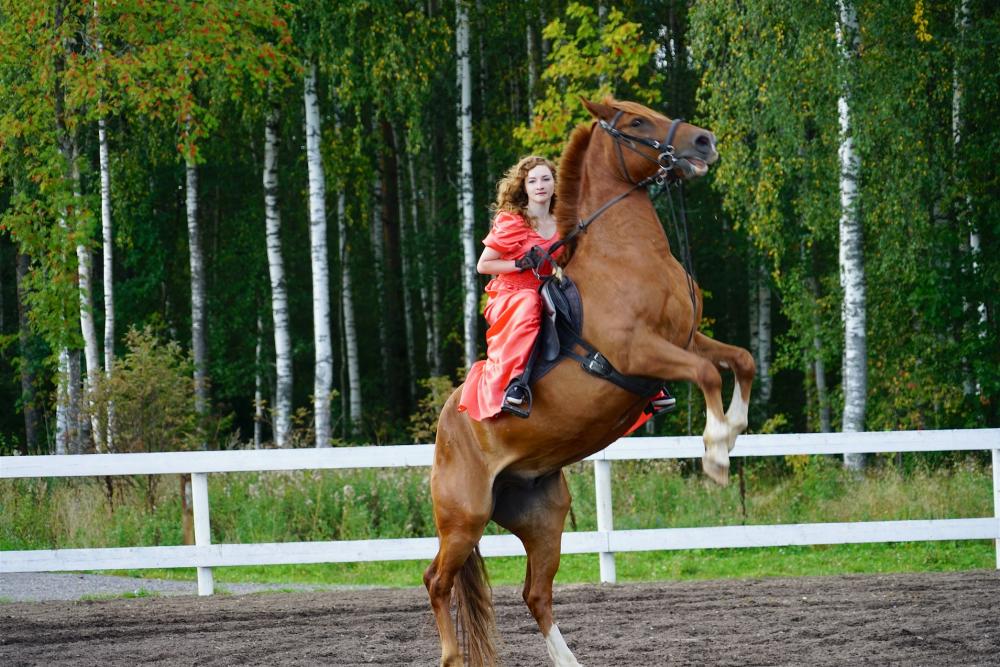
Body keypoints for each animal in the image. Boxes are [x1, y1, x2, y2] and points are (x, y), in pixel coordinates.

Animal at [424, 97, 756, 666]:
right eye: (637, 121)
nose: (704, 142)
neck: (625, 257)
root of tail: (449, 426)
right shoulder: (641, 352)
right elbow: (708, 372)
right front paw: (715, 451)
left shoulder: (687, 339)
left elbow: (742, 360)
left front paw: (733, 429)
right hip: (464, 518)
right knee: (437, 581)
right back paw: (451, 657)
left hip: (542, 515)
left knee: (534, 593)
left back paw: (568, 661)